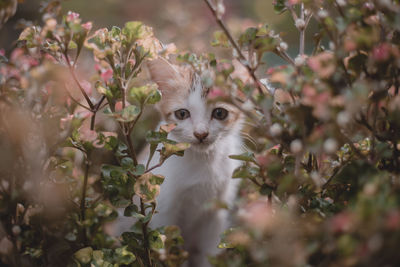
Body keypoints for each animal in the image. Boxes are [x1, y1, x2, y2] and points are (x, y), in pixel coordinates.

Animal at [145, 58, 242, 267]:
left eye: (220, 113)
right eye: (182, 114)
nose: (201, 134)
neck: (203, 164)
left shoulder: (216, 213)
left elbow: (209, 251)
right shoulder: (164, 214)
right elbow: (171, 251)